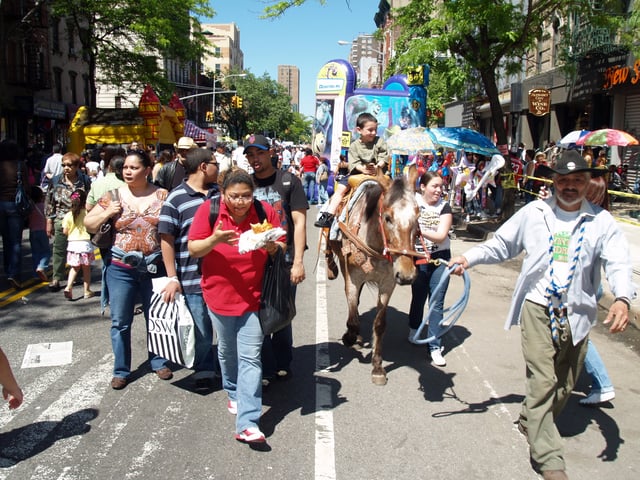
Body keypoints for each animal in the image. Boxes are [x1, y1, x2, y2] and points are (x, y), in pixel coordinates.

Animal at [330, 167, 420, 384]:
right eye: (387, 218)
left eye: (417, 217)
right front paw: (349, 337)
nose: (407, 275)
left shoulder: (388, 283)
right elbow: (353, 318)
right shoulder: (353, 277)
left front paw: (377, 367)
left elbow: (380, 324)